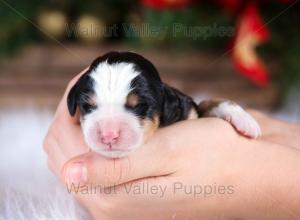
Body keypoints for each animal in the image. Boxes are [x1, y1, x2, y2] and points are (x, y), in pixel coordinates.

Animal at [67, 51, 260, 158]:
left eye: (139, 106)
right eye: (88, 106)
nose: (108, 135)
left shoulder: (190, 110)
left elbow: (209, 102)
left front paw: (245, 120)